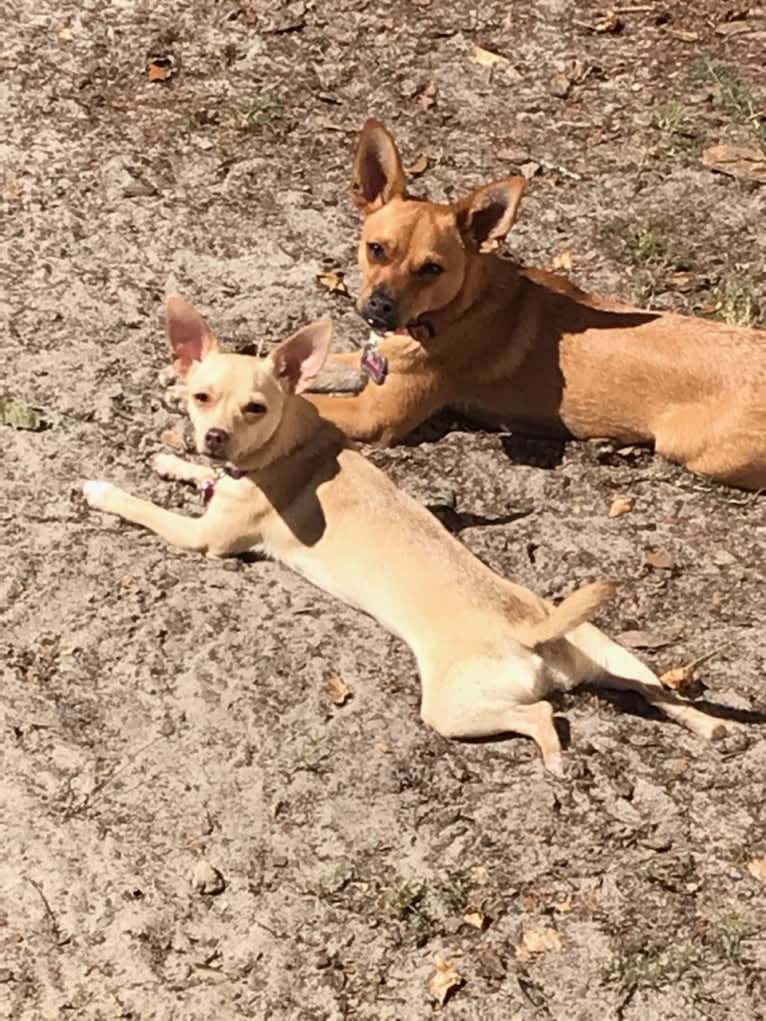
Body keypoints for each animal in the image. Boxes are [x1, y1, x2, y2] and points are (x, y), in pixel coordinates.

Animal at [83, 298, 731, 771]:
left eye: (256, 409)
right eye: (201, 398)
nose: (215, 437)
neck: (289, 441)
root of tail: (532, 631)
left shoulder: (205, 538)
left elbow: (145, 508)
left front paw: (103, 489)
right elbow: (200, 477)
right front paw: (174, 463)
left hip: (454, 708)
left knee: (543, 716)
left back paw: (554, 759)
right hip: (611, 655)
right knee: (658, 690)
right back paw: (714, 727)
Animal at [308, 119, 766, 485]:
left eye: (432, 269)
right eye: (376, 249)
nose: (380, 307)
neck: (459, 307)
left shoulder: (373, 415)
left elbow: (313, 403)